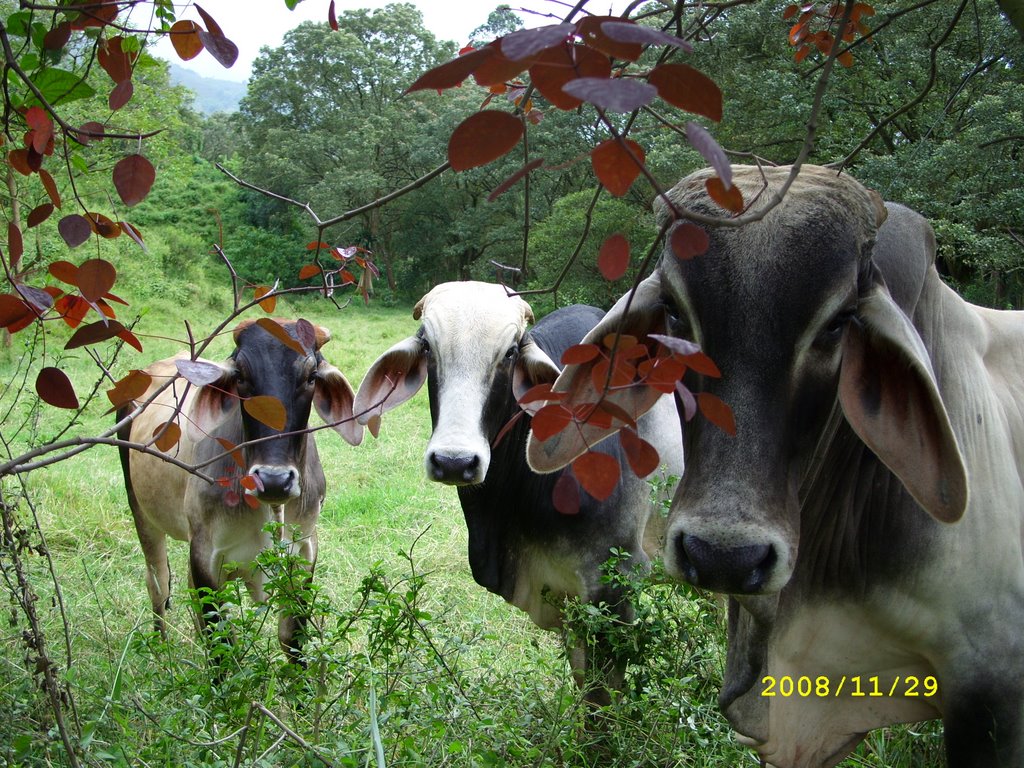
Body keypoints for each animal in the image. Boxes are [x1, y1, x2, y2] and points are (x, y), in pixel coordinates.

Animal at [116, 319, 362, 655]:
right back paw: (161, 652)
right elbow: (222, 645)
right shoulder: (205, 555)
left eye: (311, 376)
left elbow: (292, 639)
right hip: (141, 512)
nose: (273, 480)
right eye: (241, 376)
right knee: (158, 583)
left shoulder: (305, 549)